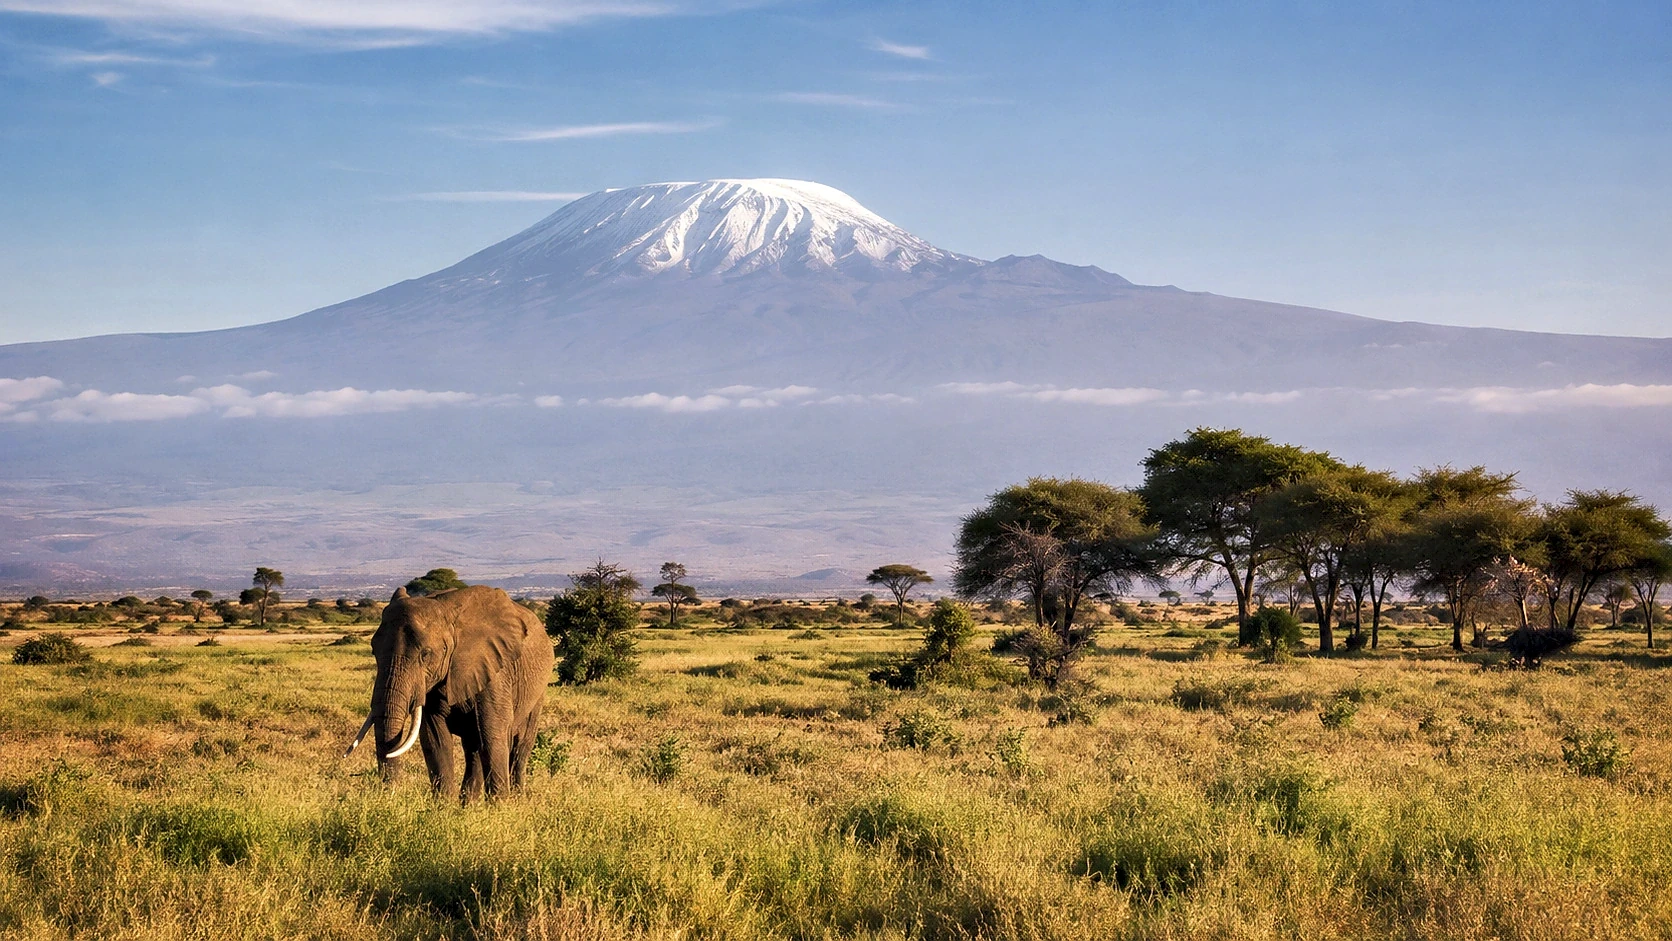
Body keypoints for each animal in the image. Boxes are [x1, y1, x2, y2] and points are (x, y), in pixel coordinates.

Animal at [344, 585, 553, 802]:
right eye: (374, 651)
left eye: (425, 654)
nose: (389, 794)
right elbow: (436, 739)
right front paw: (443, 807)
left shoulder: (495, 672)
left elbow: (493, 733)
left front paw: (500, 806)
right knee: (474, 746)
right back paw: (468, 803)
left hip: (538, 693)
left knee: (519, 747)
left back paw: (517, 799)